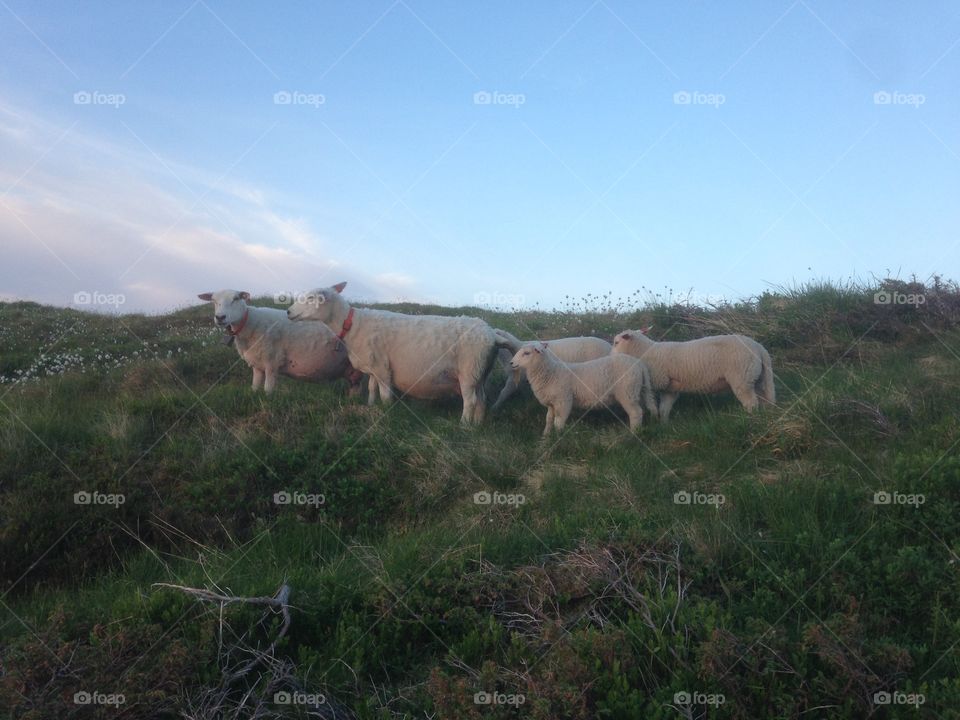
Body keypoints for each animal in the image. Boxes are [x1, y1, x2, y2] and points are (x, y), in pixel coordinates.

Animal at [197, 289, 362, 394]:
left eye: (236, 298)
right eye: (213, 301)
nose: (220, 317)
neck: (250, 322)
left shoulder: (272, 362)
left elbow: (267, 391)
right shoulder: (257, 365)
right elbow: (254, 388)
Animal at [286, 282, 511, 424]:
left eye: (311, 298)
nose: (288, 312)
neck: (353, 324)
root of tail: (491, 333)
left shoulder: (383, 368)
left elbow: (385, 395)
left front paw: (385, 414)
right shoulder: (374, 365)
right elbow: (372, 388)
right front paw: (370, 406)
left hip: (469, 369)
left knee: (470, 400)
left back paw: (463, 425)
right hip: (480, 371)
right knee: (481, 399)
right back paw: (477, 425)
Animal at [509, 343, 658, 436]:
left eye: (527, 353)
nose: (511, 363)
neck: (551, 373)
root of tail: (639, 364)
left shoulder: (564, 400)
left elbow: (559, 422)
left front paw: (557, 437)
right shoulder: (552, 403)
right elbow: (549, 420)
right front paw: (545, 436)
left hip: (627, 392)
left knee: (636, 413)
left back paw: (633, 434)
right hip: (638, 390)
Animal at [611, 326, 775, 421]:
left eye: (616, 342)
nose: (610, 356)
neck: (645, 351)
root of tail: (759, 348)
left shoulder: (655, 383)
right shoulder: (670, 388)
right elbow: (664, 409)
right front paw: (664, 425)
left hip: (742, 377)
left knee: (751, 402)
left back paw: (751, 418)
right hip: (757, 377)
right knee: (764, 398)